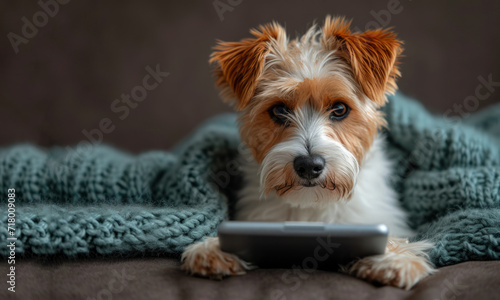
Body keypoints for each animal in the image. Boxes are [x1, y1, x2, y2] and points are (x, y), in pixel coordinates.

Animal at [180, 15, 434, 288]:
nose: (309, 165)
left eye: (340, 109)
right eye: (279, 110)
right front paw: (211, 248)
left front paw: (394, 259)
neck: (310, 208)